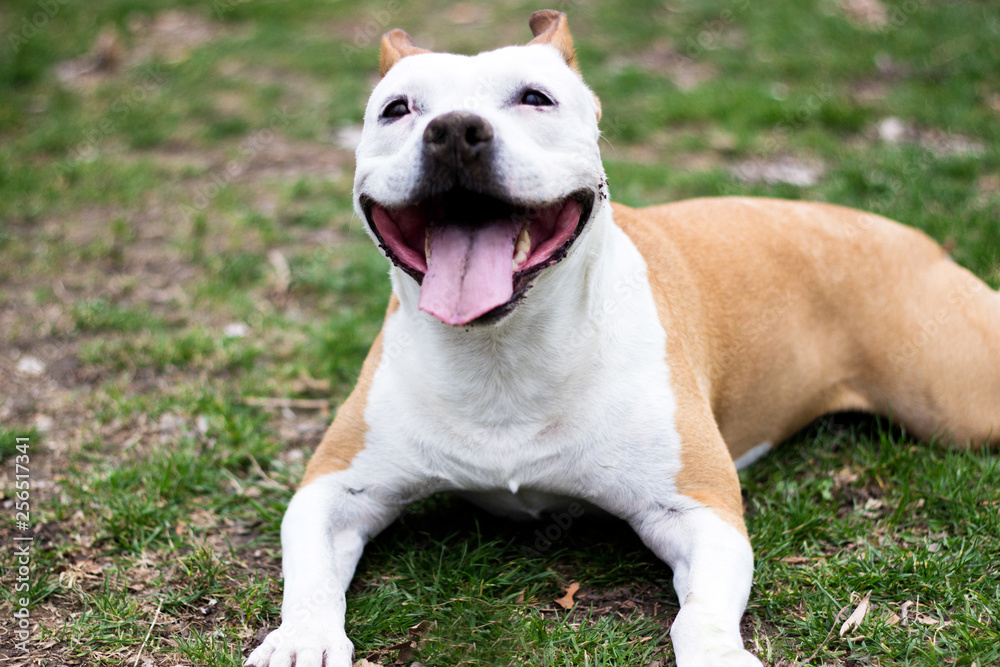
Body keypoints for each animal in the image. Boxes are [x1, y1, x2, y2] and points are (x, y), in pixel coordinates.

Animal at [244, 10, 1000, 667]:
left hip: (963, 403)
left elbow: (700, 614)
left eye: (536, 98)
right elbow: (310, 575)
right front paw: (301, 638)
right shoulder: (335, 487)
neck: (502, 353)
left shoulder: (698, 508)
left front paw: (717, 653)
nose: (454, 129)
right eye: (398, 109)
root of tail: (912, 234)